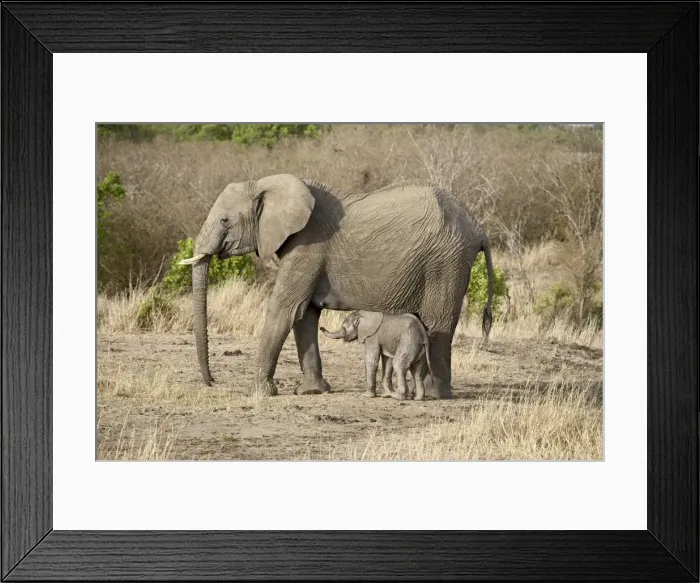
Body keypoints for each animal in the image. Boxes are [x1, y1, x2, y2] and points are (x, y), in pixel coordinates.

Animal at [180, 173, 494, 399]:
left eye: (224, 220)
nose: (211, 382)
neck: (264, 183)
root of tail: (478, 228)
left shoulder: (308, 246)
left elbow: (284, 309)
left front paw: (259, 393)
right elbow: (304, 315)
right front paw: (311, 392)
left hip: (445, 262)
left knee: (438, 324)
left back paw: (434, 395)